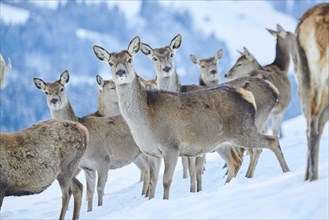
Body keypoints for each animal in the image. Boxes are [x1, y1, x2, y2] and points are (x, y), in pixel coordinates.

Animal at [33, 71, 144, 211]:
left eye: (62, 88)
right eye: (46, 92)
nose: (54, 100)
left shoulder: (103, 160)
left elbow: (99, 188)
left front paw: (99, 207)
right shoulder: (87, 166)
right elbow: (90, 192)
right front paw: (89, 211)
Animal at [93, 35, 290, 199]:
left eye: (130, 59)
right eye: (110, 62)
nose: (121, 73)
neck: (145, 121)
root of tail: (248, 96)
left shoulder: (171, 146)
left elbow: (167, 181)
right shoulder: (152, 152)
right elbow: (152, 183)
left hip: (243, 130)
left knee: (270, 141)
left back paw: (287, 172)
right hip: (223, 141)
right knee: (236, 161)